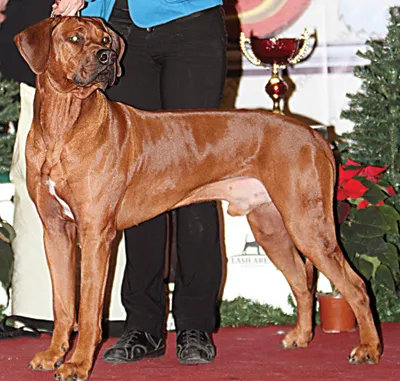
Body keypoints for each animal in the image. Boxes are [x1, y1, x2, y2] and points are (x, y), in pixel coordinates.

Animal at [13, 16, 382, 378]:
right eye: (75, 38)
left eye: (105, 40)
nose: (108, 57)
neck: (63, 125)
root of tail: (313, 134)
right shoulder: (56, 232)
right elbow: (62, 304)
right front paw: (52, 355)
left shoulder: (94, 235)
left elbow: (89, 309)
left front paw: (77, 365)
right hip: (270, 227)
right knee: (303, 281)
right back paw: (302, 337)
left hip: (307, 223)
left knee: (355, 285)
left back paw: (369, 348)